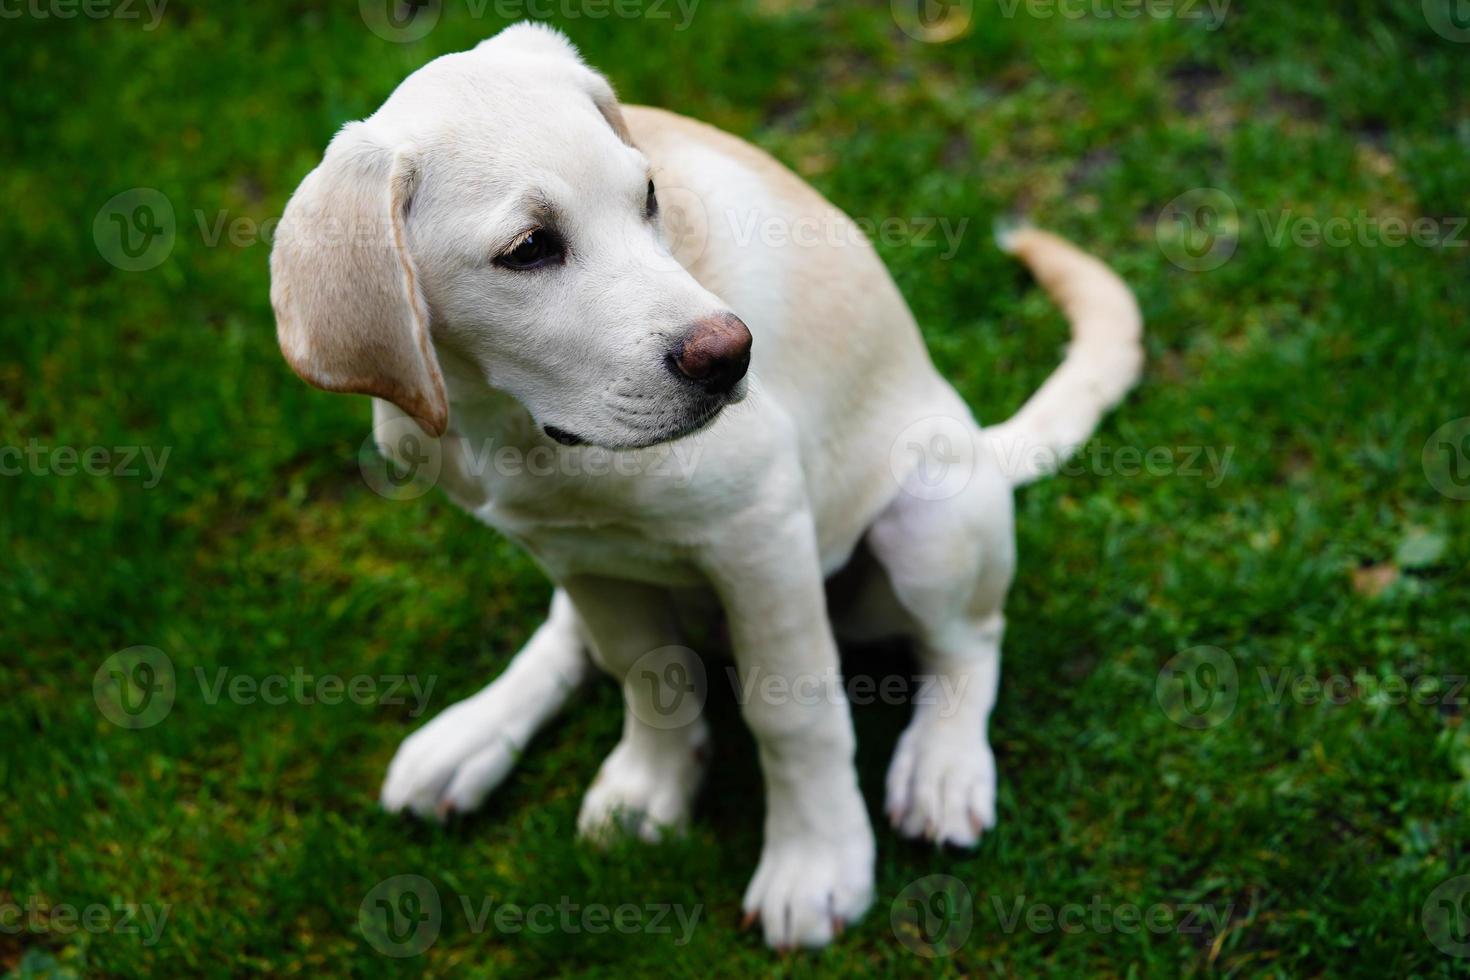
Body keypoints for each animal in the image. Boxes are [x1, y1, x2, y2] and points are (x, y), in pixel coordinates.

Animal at [270, 22, 1140, 952]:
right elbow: (643, 670)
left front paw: (814, 861)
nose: (731, 355)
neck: (524, 433)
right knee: (569, 638)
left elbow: (791, 710)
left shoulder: (760, 532)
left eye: (649, 196)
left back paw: (942, 766)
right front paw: (651, 785)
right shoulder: (580, 555)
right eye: (529, 249)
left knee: (967, 641)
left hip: (930, 519)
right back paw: (467, 739)